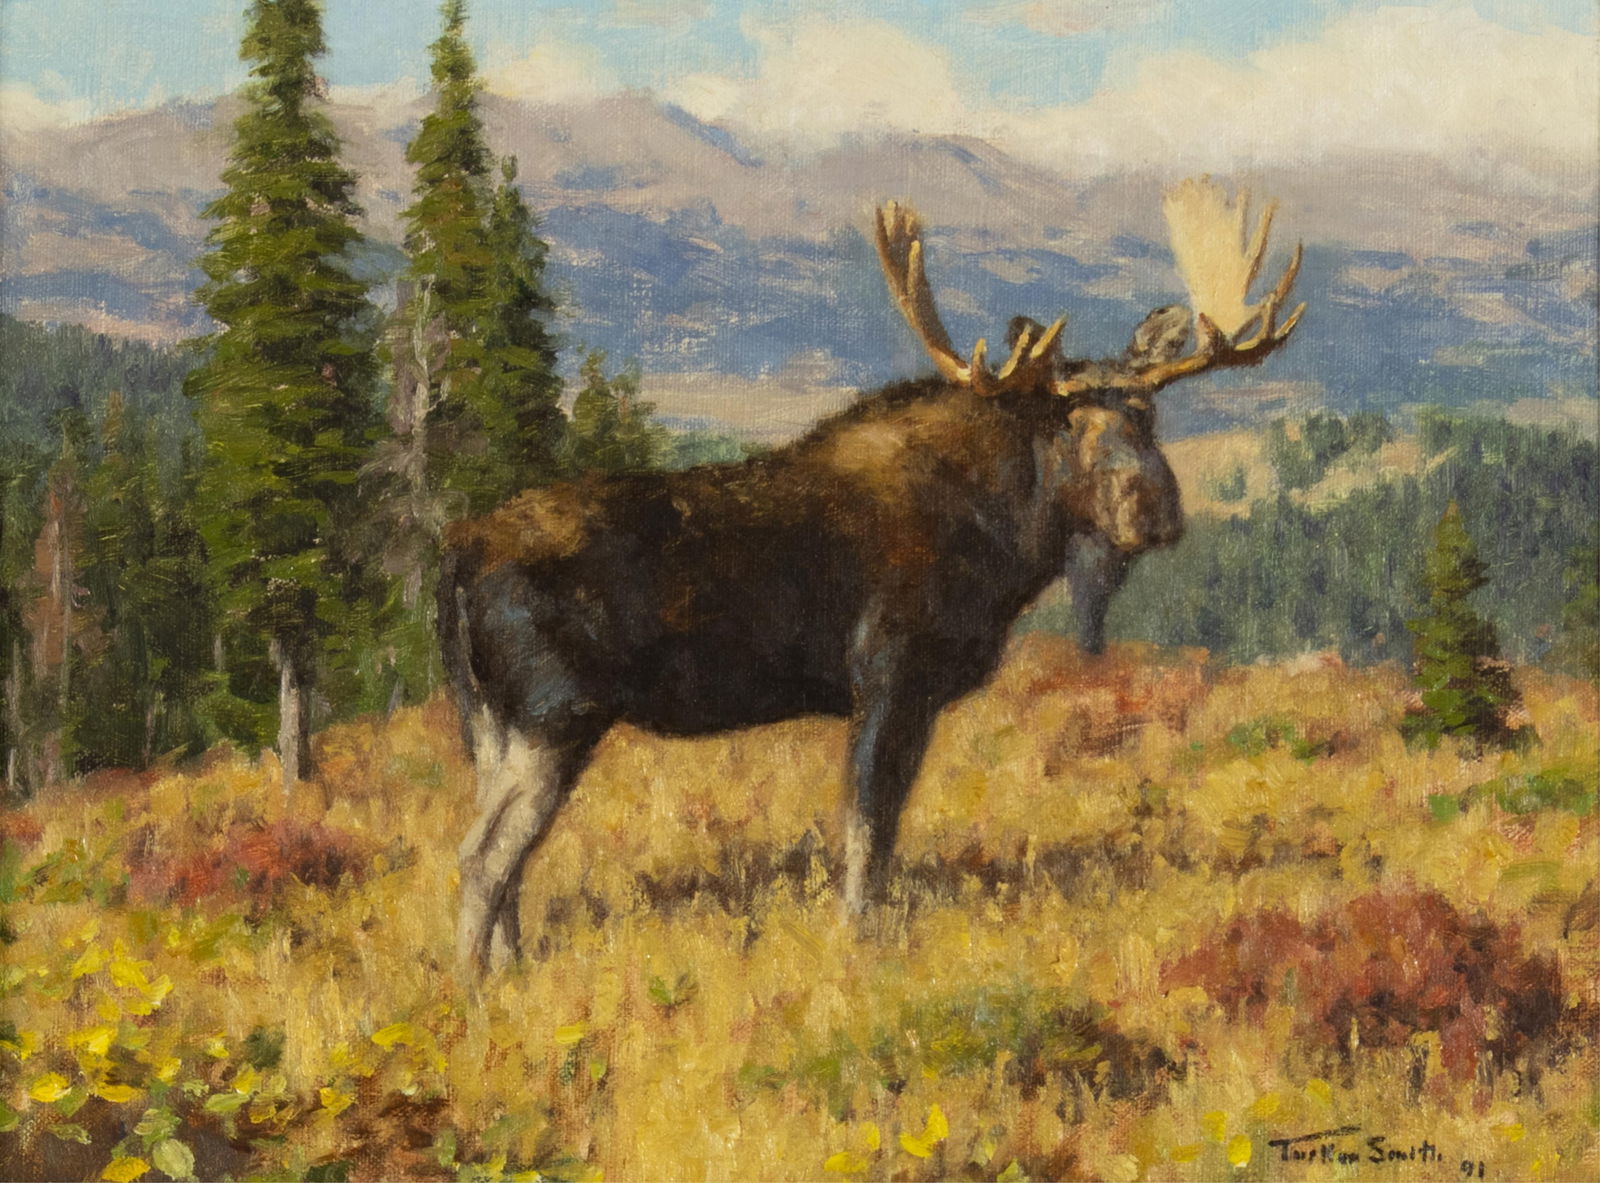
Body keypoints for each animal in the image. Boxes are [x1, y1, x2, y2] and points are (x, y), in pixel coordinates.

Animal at [438, 177, 1304, 976]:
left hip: (493, 721)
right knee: (482, 854)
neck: (1004, 544)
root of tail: (457, 555)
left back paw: (508, 968)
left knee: (503, 856)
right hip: (556, 711)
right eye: (1067, 423)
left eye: (1148, 417)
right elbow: (868, 824)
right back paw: (471, 987)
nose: (1153, 508)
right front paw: (861, 937)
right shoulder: (892, 673)